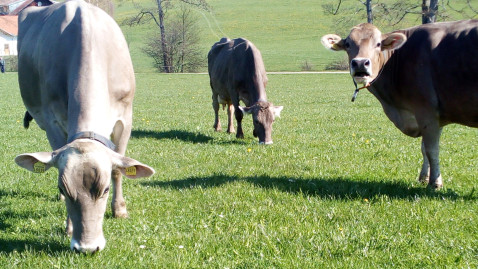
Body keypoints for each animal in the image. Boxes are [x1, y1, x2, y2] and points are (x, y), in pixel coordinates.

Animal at [14, 0, 155, 252]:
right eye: (64, 188)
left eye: (105, 189)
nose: (87, 247)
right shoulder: (52, 120)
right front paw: (69, 225)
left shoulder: (126, 116)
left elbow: (119, 168)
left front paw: (119, 209)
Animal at [324, 20, 478, 188]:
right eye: (347, 44)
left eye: (378, 43)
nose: (360, 63)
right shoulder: (434, 114)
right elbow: (424, 148)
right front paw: (424, 177)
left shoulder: (426, 110)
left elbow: (431, 150)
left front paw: (435, 182)